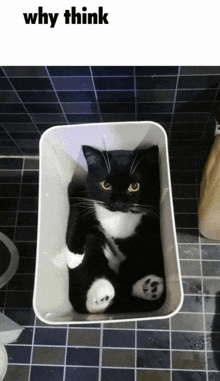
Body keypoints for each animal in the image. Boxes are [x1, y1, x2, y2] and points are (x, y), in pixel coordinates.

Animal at [65, 144, 165, 314]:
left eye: (134, 186)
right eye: (106, 185)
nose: (118, 202)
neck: (118, 217)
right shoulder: (81, 193)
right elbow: (76, 216)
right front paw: (74, 257)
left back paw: (150, 287)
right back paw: (102, 293)